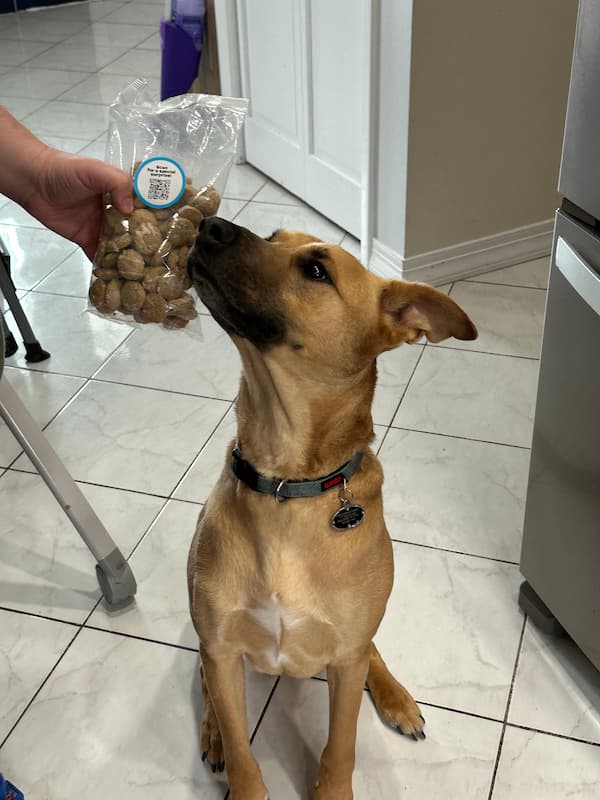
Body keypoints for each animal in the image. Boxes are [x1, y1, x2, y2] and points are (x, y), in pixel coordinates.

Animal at [188, 216, 478, 796]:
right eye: (273, 238)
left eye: (317, 271)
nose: (210, 223)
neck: (287, 483)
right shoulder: (221, 647)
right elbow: (242, 750)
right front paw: (233, 758)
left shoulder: (344, 661)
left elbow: (340, 746)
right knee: (205, 686)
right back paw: (210, 733)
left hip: (353, 640)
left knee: (373, 651)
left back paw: (397, 698)